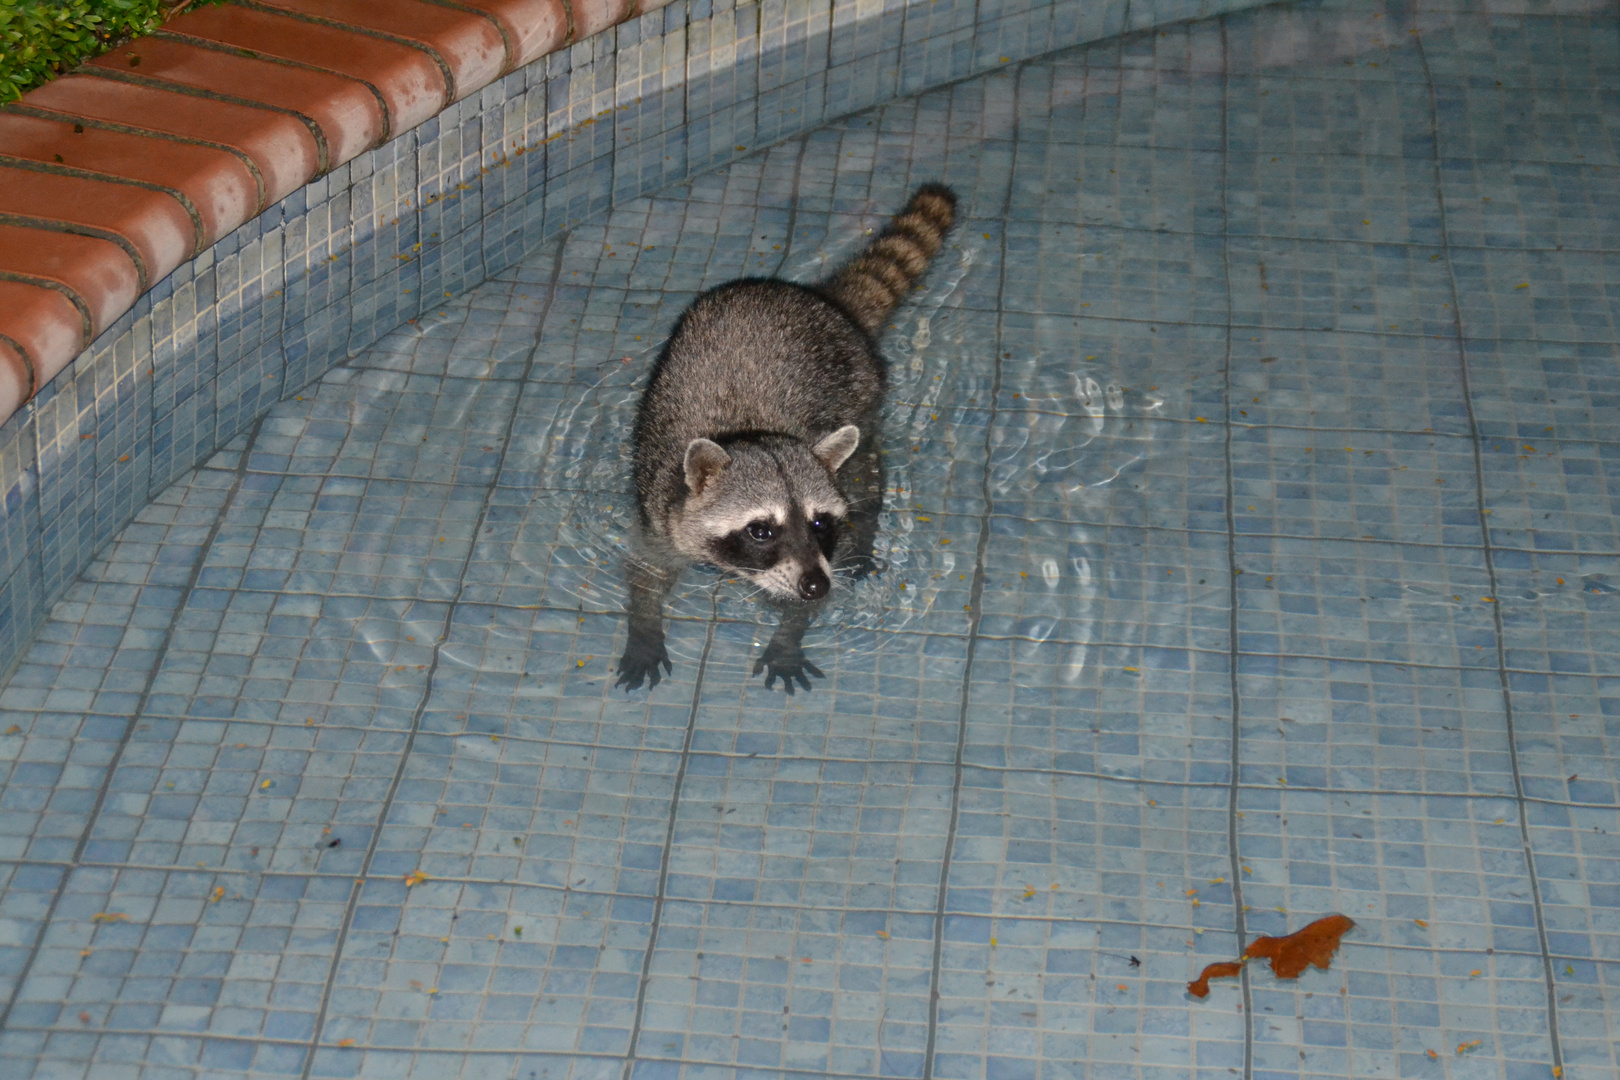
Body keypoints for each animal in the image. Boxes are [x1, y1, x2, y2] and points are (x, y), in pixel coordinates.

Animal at [612, 183, 952, 693]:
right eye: (760, 529)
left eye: (820, 522)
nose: (817, 584)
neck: (750, 431)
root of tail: (819, 301)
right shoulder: (660, 506)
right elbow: (646, 571)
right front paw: (645, 627)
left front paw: (789, 636)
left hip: (863, 387)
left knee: (865, 472)